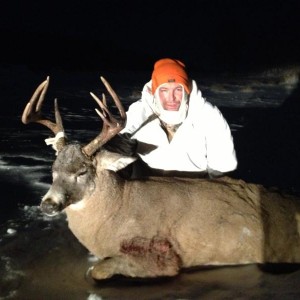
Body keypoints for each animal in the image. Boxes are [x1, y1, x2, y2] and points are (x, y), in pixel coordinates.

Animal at [22, 76, 300, 280]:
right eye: (53, 169)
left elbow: (97, 270)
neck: (116, 211)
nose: (48, 204)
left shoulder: (163, 255)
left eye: (82, 171)